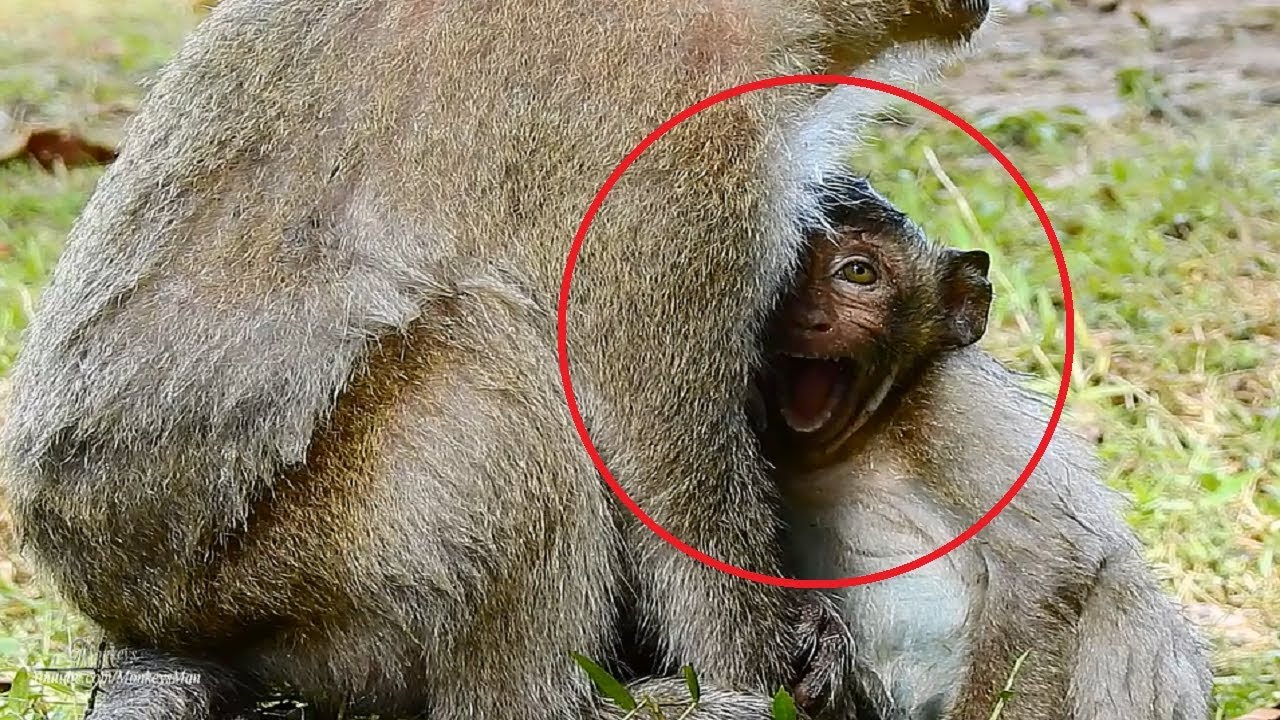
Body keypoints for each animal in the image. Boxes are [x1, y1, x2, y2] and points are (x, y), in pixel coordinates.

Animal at [0, 1, 993, 719]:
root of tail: (144, 617)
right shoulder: (678, 147)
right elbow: (659, 446)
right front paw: (768, 668)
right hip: (284, 582)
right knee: (485, 361)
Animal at [756, 177, 1213, 720]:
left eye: (858, 272)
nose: (803, 317)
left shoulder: (958, 406)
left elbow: (1052, 566)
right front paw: (821, 631)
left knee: (1118, 586)